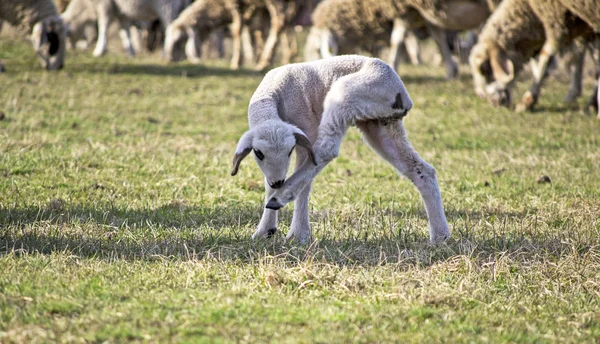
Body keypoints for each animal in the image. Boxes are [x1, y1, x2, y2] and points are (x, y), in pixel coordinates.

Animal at [230, 55, 450, 243]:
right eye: (258, 153)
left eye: (290, 151)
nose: (278, 183)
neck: (272, 96)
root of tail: (401, 93)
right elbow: (267, 182)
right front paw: (264, 230)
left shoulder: (306, 129)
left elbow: (305, 182)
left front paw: (298, 235)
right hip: (380, 122)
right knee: (420, 169)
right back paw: (440, 235)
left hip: (349, 93)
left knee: (327, 148)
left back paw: (282, 196)